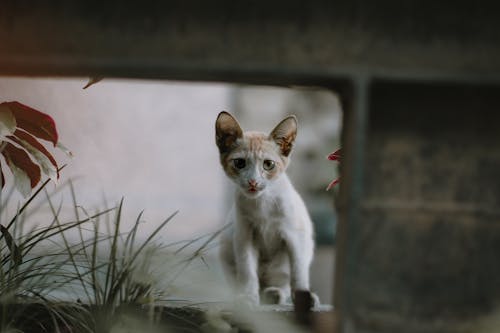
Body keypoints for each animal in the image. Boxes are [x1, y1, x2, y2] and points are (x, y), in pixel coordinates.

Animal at [214, 111, 316, 306]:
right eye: (239, 163)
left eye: (268, 164)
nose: (253, 182)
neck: (262, 204)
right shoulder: (244, 236)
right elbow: (247, 272)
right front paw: (248, 298)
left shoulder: (295, 236)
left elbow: (298, 272)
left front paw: (302, 299)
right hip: (226, 249)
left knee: (283, 282)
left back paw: (276, 294)